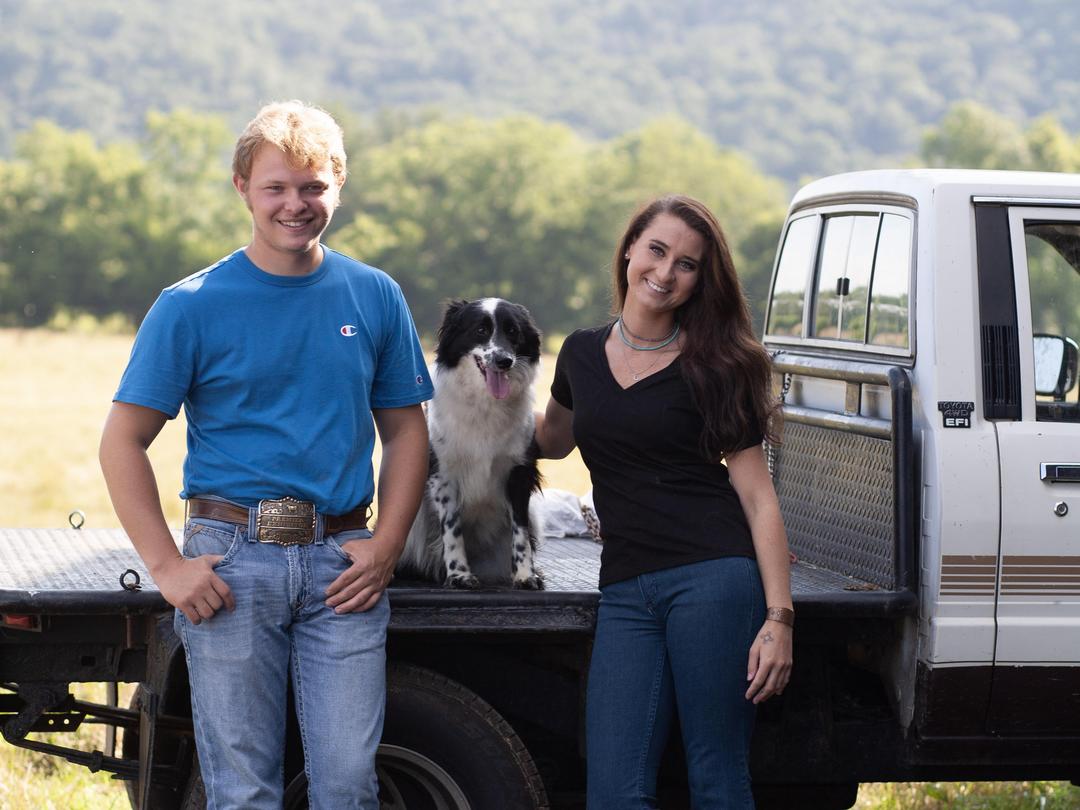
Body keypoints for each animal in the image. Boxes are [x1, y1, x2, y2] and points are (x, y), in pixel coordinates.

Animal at [397, 298, 544, 591]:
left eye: (513, 332)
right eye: (480, 330)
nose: (504, 361)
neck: (485, 403)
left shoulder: (519, 473)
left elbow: (520, 533)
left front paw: (525, 575)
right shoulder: (444, 476)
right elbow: (452, 530)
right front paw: (459, 574)